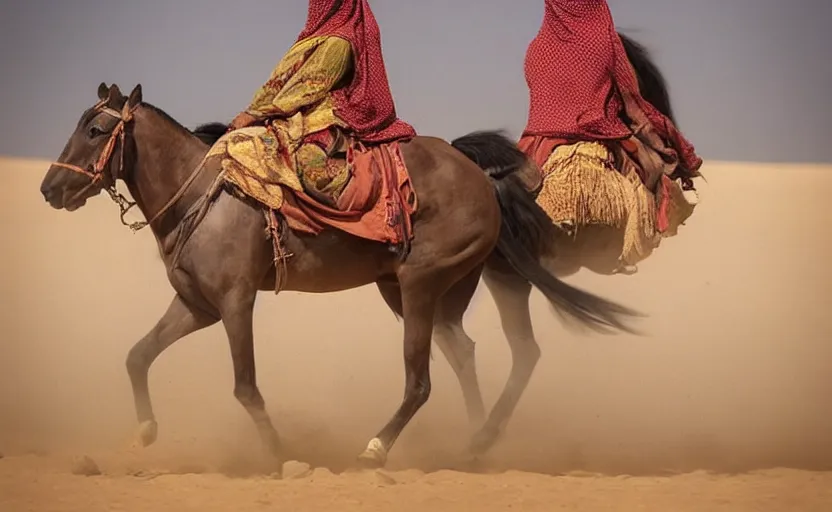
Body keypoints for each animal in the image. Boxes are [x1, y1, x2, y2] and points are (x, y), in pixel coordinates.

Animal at [39, 82, 636, 470]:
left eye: (95, 128)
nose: (50, 188)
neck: (202, 195)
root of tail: (483, 179)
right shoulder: (197, 306)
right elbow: (137, 355)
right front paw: (145, 431)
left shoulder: (235, 303)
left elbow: (245, 387)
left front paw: (280, 455)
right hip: (423, 288)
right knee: (471, 353)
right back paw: (474, 443)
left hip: (420, 284)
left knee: (422, 381)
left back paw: (377, 449)